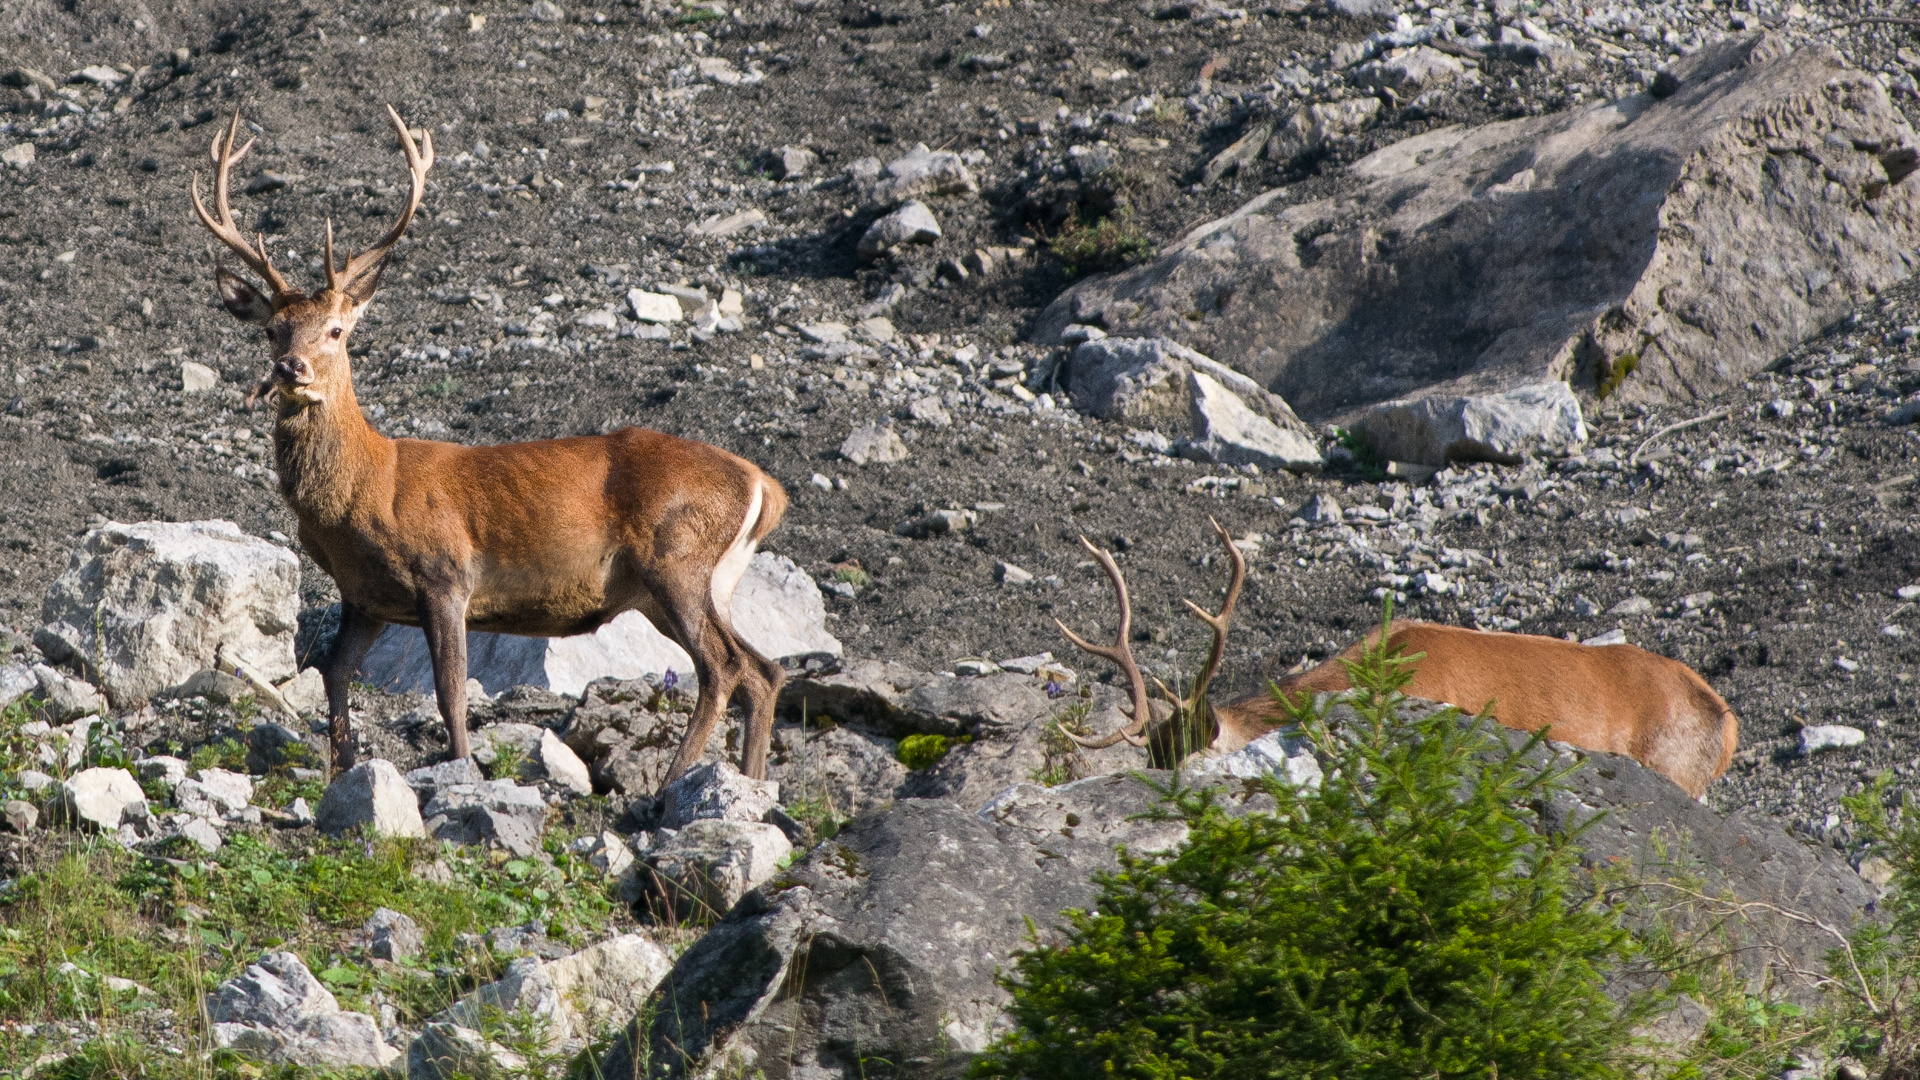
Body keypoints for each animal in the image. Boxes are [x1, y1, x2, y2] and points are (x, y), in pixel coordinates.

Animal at [192, 111, 787, 780]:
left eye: (337, 330)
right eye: (272, 329)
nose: (291, 369)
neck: (364, 491)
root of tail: (765, 486)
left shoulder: (445, 572)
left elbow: (451, 692)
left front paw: (459, 768)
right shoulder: (364, 596)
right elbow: (334, 674)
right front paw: (343, 769)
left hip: (677, 557)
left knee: (723, 666)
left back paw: (671, 781)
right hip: (703, 582)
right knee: (764, 669)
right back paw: (749, 780)